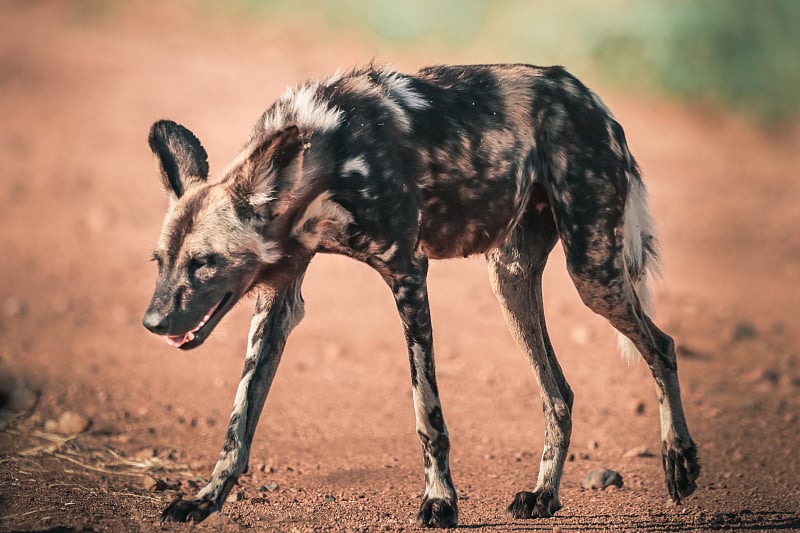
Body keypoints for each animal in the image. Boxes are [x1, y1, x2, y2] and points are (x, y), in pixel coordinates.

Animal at [145, 63, 700, 524]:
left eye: (204, 263)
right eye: (160, 263)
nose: (152, 323)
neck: (328, 158)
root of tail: (590, 98)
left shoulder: (408, 274)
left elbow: (427, 412)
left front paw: (440, 500)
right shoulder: (277, 302)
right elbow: (238, 421)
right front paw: (205, 500)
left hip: (593, 275)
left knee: (662, 346)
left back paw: (679, 460)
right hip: (511, 282)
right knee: (558, 393)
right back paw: (544, 495)